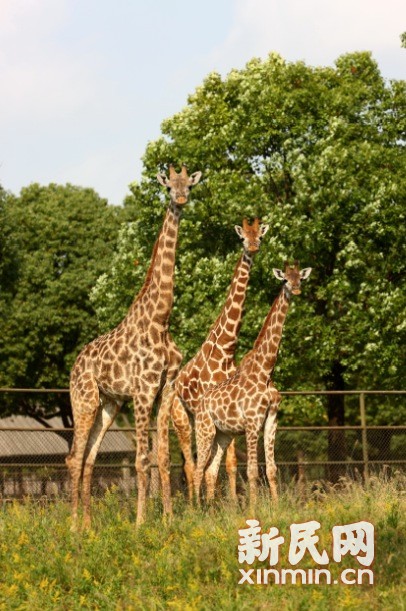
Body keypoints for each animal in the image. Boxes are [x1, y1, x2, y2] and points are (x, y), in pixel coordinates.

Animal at [65, 164, 203, 532]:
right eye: (169, 186)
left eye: (189, 185)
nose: (180, 198)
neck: (161, 319)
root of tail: (75, 364)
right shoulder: (143, 390)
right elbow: (142, 459)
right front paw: (141, 523)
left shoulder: (165, 389)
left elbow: (163, 458)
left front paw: (168, 519)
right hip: (83, 400)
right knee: (73, 457)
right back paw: (73, 526)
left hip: (109, 404)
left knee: (89, 458)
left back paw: (89, 525)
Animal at [157, 220, 268, 512]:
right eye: (243, 238)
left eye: (259, 236)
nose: (253, 247)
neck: (226, 349)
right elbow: (209, 464)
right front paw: (213, 504)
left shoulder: (230, 412)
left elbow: (230, 463)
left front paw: (230, 504)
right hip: (182, 418)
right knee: (189, 463)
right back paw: (193, 505)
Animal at [192, 262, 312, 506]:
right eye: (285, 279)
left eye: (300, 278)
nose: (296, 289)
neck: (265, 370)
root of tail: (200, 404)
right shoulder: (251, 421)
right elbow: (252, 471)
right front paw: (253, 510)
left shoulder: (272, 419)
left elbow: (272, 469)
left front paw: (276, 507)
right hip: (204, 429)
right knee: (198, 471)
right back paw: (195, 510)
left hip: (223, 435)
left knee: (210, 471)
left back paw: (210, 509)